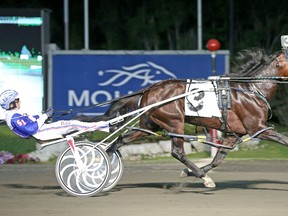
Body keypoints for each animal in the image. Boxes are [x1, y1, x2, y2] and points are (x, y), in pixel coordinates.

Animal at [79, 47, 288, 187]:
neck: (252, 89)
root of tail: (149, 89)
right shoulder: (259, 129)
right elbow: (284, 140)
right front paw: (200, 175)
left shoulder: (232, 134)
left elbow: (217, 159)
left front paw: (191, 173)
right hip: (174, 123)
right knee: (177, 152)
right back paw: (203, 177)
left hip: (150, 125)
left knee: (120, 140)